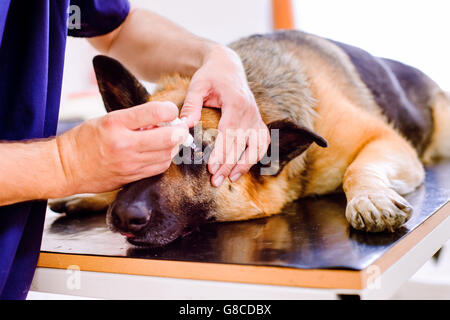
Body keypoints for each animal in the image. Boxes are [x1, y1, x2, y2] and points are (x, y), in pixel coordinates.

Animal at [48, 31, 450, 248]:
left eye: (199, 155)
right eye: (138, 151)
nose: (123, 216)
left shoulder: (386, 141)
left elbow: (359, 168)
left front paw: (370, 198)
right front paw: (94, 193)